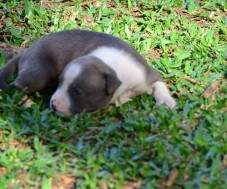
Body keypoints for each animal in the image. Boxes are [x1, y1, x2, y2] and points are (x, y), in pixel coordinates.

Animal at [0, 29, 176, 115]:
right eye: (59, 84)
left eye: (77, 91)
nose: (53, 105)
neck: (111, 66)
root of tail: (27, 50)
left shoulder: (147, 74)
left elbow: (160, 85)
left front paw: (167, 102)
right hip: (37, 73)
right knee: (16, 86)